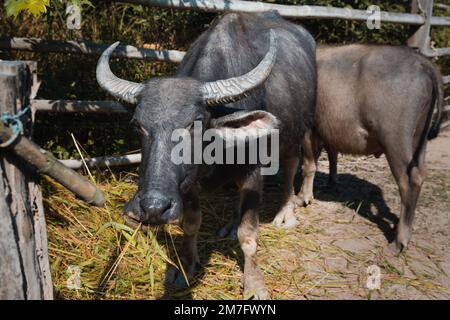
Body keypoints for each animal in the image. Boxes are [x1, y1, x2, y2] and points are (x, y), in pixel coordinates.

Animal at [96, 11, 316, 298]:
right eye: (137, 125)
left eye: (195, 123)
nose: (153, 207)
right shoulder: (188, 183)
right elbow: (191, 224)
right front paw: (186, 268)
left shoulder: (253, 173)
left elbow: (249, 235)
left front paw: (254, 284)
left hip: (296, 133)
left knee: (290, 167)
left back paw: (285, 213)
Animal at [272, 43, 444, 254]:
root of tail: (423, 63)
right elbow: (331, 154)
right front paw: (331, 182)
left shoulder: (309, 129)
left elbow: (309, 164)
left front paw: (303, 197)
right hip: (419, 139)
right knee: (421, 172)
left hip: (395, 139)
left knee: (409, 180)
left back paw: (398, 241)